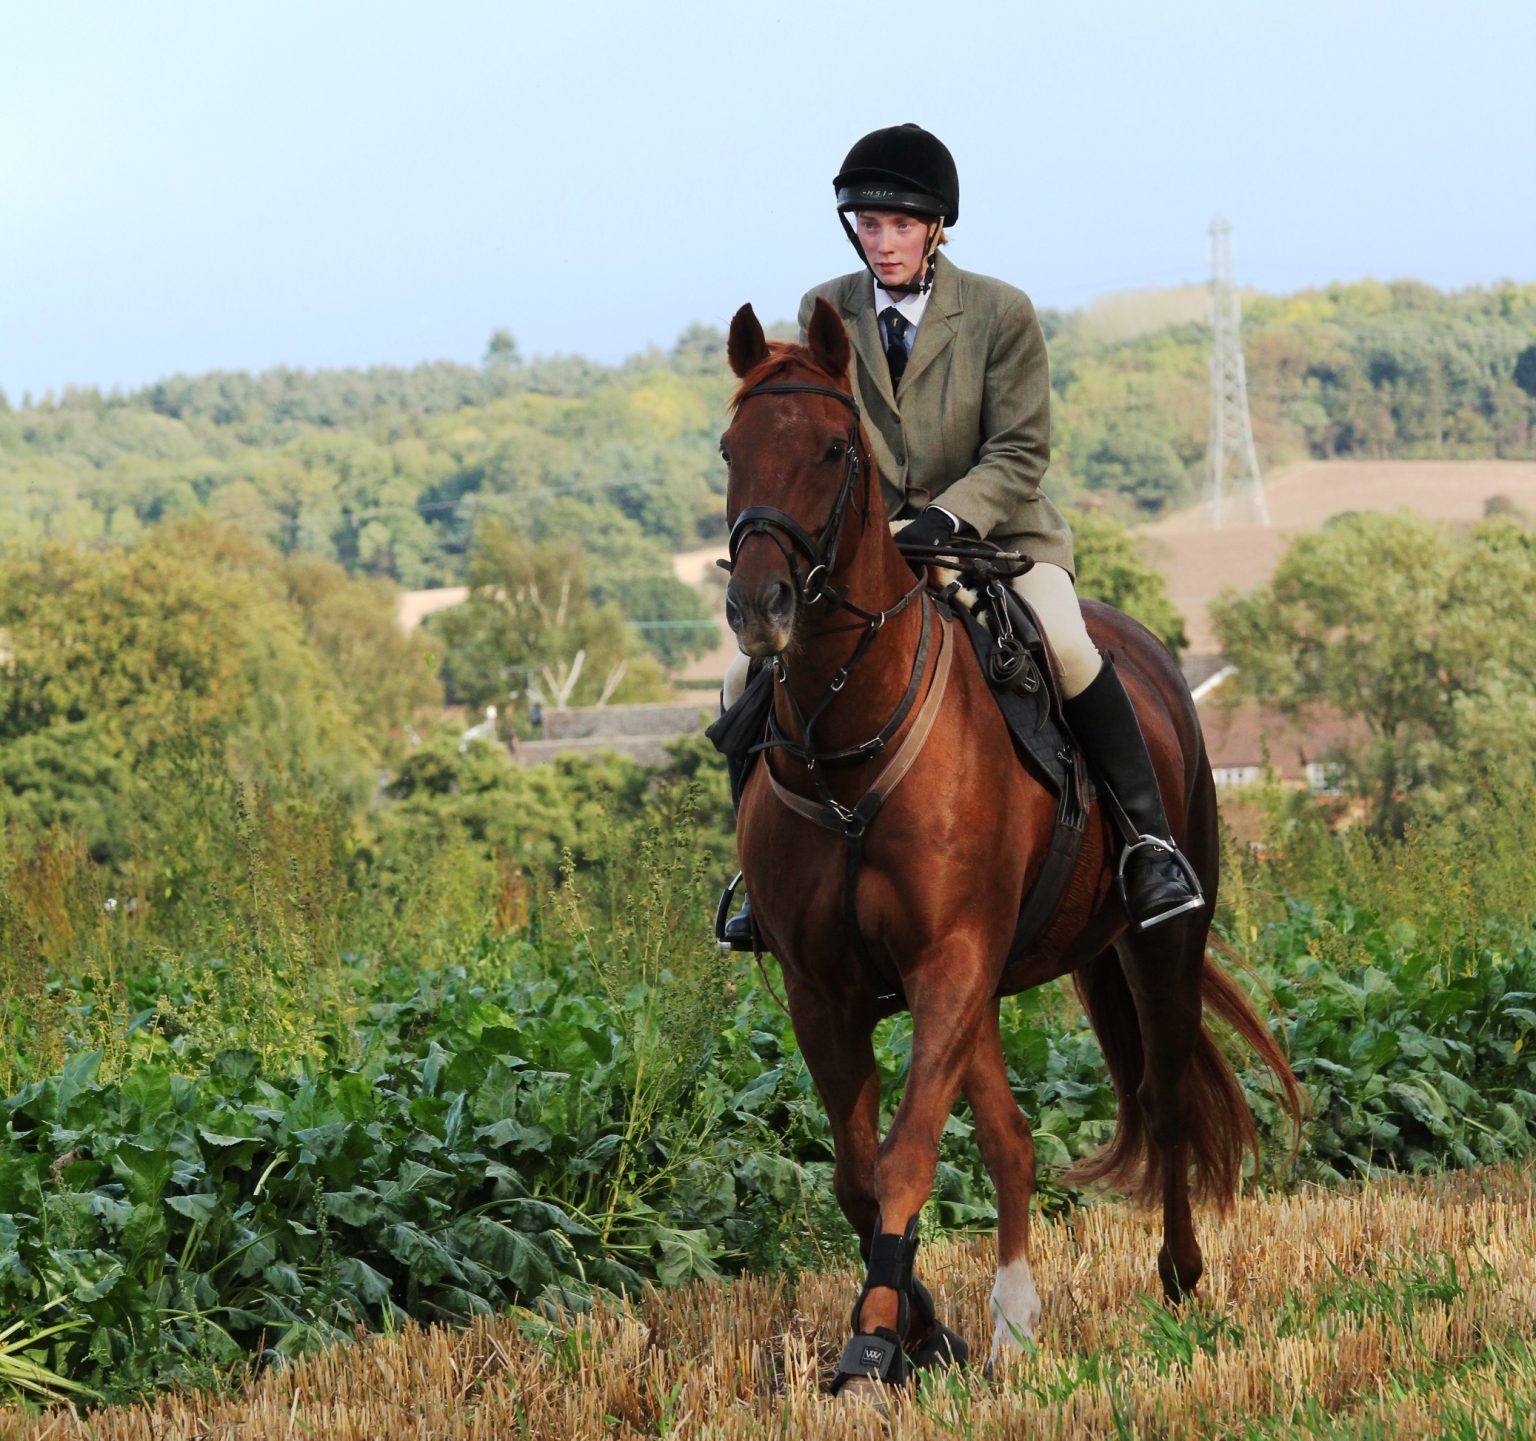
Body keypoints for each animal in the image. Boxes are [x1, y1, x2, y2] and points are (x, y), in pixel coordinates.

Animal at [718, 298, 1302, 1397]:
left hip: (1161, 939)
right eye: (731, 449)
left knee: (1162, 1098)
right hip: (987, 987)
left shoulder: (946, 961)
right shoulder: (829, 988)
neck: (851, 742)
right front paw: (920, 1328)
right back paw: (1013, 1320)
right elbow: (859, 1172)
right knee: (1013, 1139)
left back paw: (1177, 1277)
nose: (759, 610)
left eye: (832, 449)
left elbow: (905, 1153)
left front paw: (872, 1342)